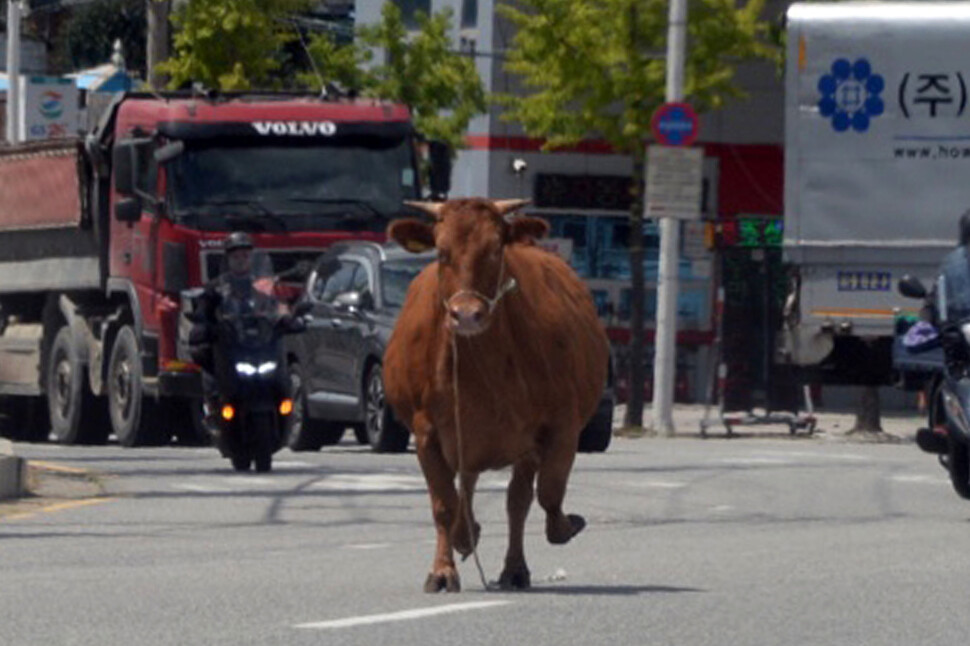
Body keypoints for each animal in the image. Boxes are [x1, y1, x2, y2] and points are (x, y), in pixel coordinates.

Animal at [384, 200, 604, 596]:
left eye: (496, 250)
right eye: (441, 252)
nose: (467, 315)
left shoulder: (558, 428)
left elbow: (547, 494)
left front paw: (564, 527)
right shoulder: (427, 434)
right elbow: (444, 504)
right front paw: (442, 571)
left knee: (517, 501)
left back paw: (513, 567)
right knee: (467, 488)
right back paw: (466, 536)